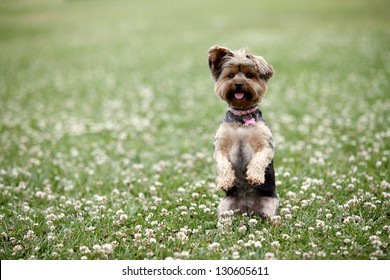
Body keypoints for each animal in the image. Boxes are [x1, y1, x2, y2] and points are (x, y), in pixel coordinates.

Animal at [209, 45, 278, 219]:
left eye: (249, 75)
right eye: (231, 75)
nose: (239, 83)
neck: (242, 118)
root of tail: (248, 209)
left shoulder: (266, 145)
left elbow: (258, 159)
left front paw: (254, 176)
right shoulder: (220, 146)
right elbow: (223, 163)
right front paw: (225, 181)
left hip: (271, 204)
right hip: (225, 206)